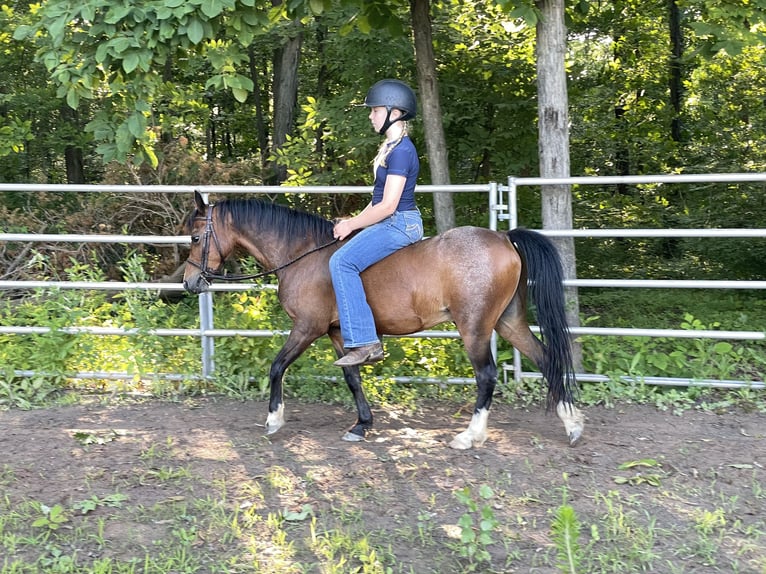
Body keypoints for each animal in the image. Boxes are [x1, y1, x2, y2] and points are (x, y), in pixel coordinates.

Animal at [183, 191, 584, 452]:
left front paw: (273, 420)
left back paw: (469, 436)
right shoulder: (337, 334)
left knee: (486, 375)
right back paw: (572, 423)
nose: (189, 282)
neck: (303, 255)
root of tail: (503, 236)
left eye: (195, 236)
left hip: (475, 327)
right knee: (546, 359)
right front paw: (362, 424)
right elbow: (352, 377)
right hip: (508, 322)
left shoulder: (308, 327)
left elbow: (277, 366)